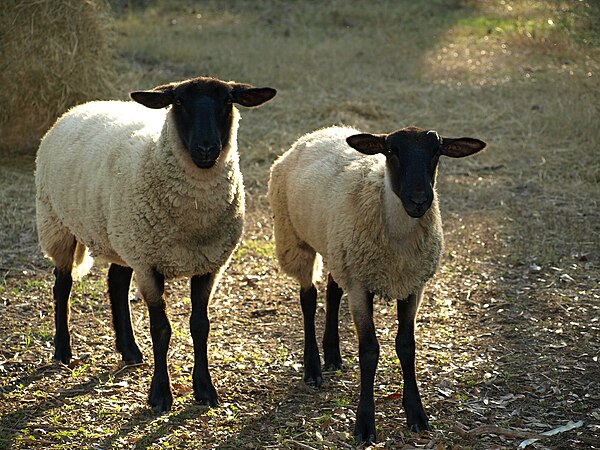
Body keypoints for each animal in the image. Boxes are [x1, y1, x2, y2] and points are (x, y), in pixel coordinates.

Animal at [34, 75, 276, 414]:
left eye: (228, 101)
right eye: (179, 102)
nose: (206, 148)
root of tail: (79, 107)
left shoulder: (209, 264)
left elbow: (200, 325)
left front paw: (205, 389)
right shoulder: (149, 265)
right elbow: (161, 330)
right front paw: (160, 394)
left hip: (122, 237)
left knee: (115, 282)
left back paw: (130, 351)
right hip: (57, 223)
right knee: (62, 286)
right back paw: (62, 350)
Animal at [268, 125, 488, 442]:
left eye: (437, 151)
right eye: (391, 150)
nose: (419, 199)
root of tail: (320, 131)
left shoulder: (412, 285)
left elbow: (406, 346)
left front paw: (416, 414)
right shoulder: (361, 287)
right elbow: (369, 351)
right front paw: (365, 424)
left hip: (338, 249)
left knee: (333, 291)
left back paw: (332, 355)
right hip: (295, 240)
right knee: (308, 299)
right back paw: (313, 368)